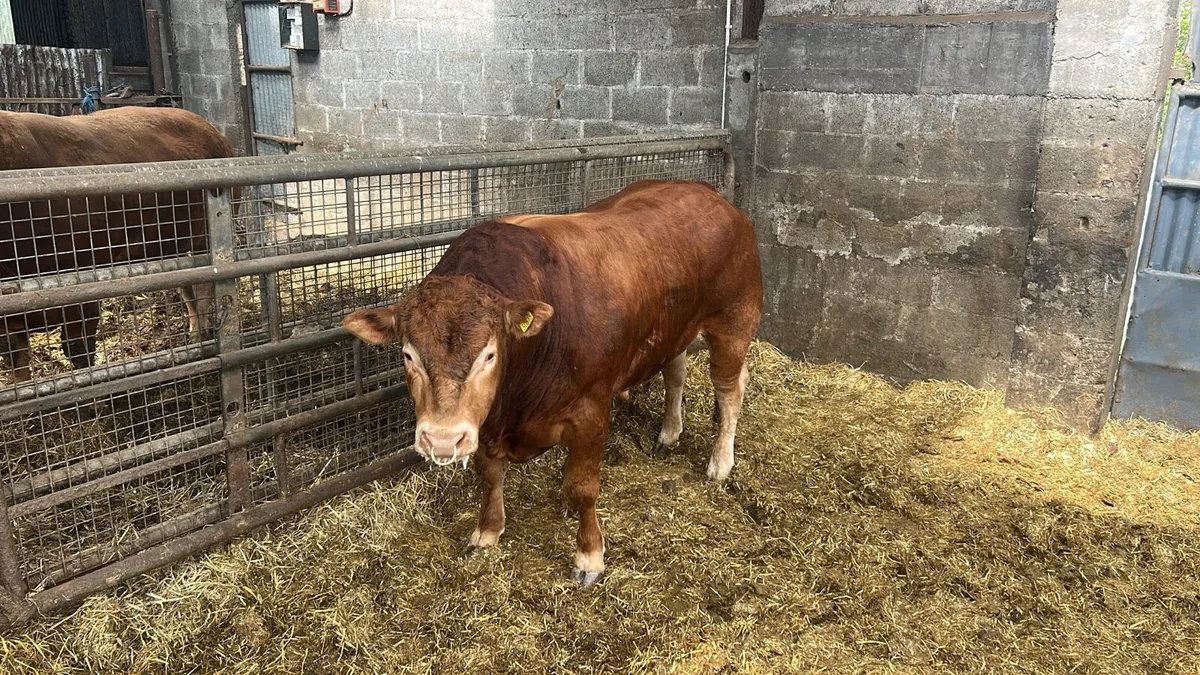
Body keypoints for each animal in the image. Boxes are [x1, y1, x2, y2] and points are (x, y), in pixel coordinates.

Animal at [0, 106, 237, 382]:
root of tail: (211, 129)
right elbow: (17, 365)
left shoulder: (82, 280)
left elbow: (78, 349)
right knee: (189, 287)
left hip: (205, 236)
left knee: (204, 289)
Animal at [342, 179, 763, 586]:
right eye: (408, 355)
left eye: (489, 355)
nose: (442, 440)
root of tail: (708, 192)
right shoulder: (485, 422)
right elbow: (489, 476)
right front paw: (487, 531)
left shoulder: (591, 413)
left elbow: (582, 487)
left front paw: (589, 557)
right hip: (673, 328)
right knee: (675, 372)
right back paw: (669, 432)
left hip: (734, 322)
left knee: (730, 389)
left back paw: (720, 463)